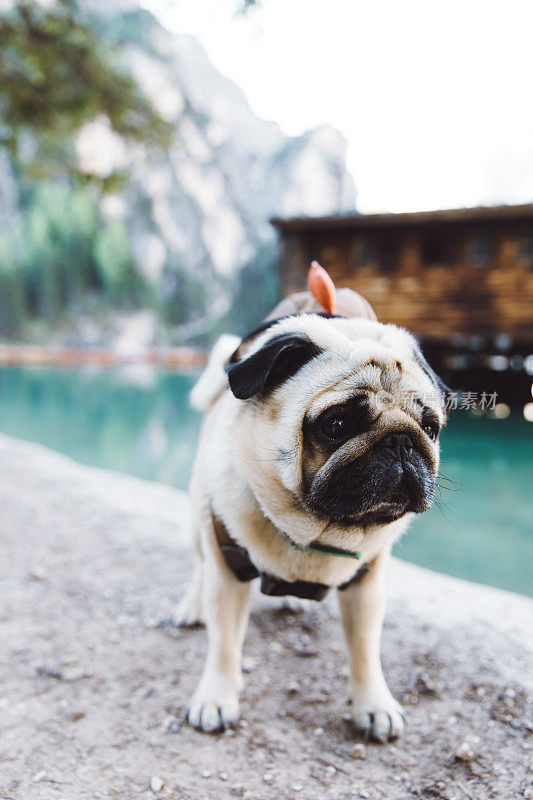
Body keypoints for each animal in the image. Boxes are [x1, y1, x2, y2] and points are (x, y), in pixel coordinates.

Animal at [174, 276, 444, 744]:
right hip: (199, 517)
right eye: (336, 424)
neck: (315, 531)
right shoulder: (228, 570)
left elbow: (366, 651)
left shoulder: (366, 585)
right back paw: (193, 605)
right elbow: (224, 645)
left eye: (430, 428)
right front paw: (216, 697)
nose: (401, 442)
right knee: (200, 563)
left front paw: (373, 704)